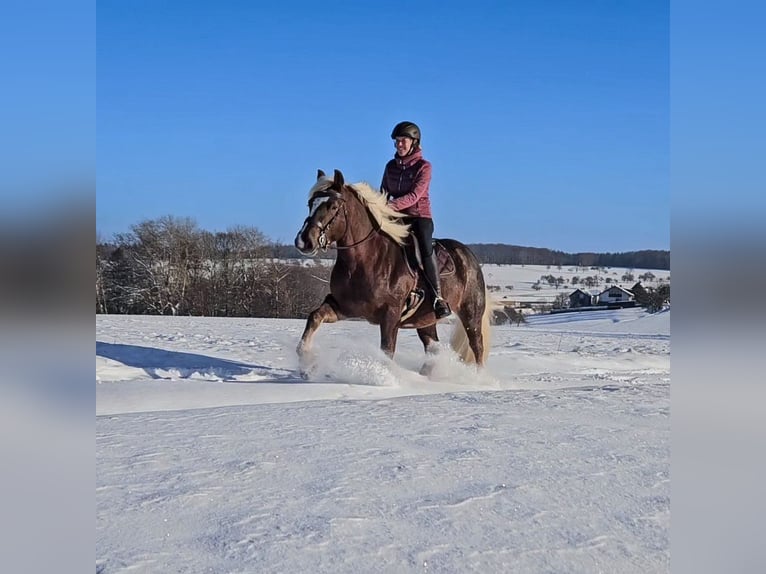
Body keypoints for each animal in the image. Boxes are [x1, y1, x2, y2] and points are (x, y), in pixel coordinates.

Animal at [293, 169, 491, 377]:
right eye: (310, 204)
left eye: (332, 206)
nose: (304, 241)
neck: (363, 261)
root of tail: (468, 255)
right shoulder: (343, 307)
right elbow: (315, 317)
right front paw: (306, 361)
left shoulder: (391, 315)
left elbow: (387, 350)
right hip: (425, 320)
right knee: (433, 347)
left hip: (471, 313)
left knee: (477, 345)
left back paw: (478, 377)